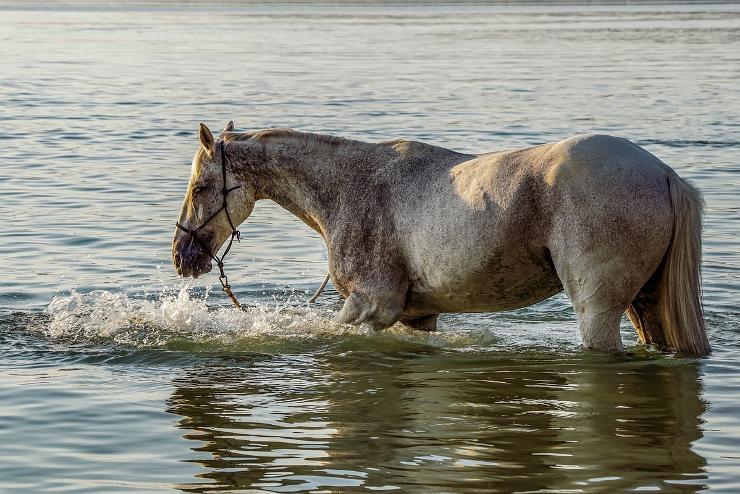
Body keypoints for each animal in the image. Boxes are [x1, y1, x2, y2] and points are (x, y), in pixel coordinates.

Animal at [173, 122, 712, 356]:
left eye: (199, 188)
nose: (183, 256)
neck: (351, 185)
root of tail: (664, 174)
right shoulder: (417, 316)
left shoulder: (372, 306)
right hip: (645, 305)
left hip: (598, 310)